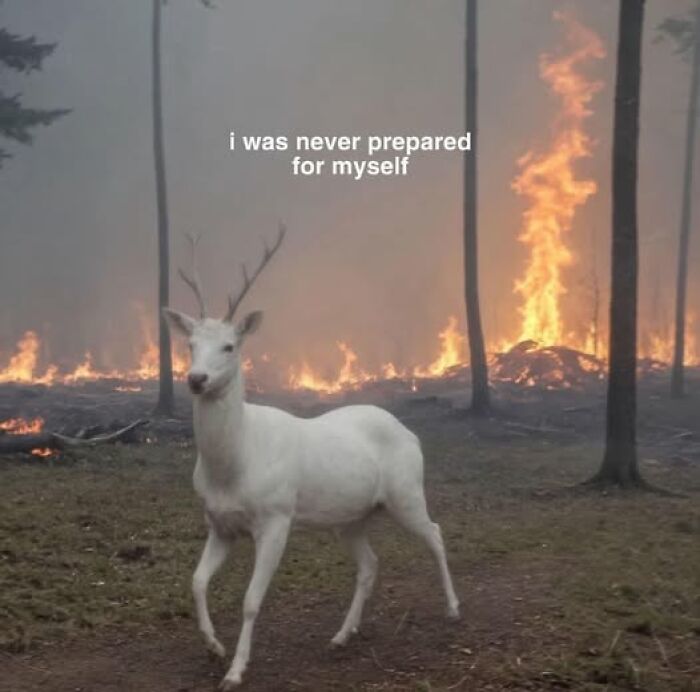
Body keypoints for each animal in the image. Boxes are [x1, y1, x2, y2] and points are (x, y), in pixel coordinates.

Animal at [163, 226, 460, 690]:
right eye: (190, 344)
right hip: (352, 516)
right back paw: (341, 635)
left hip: (407, 491)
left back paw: (453, 609)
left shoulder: (277, 516)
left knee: (435, 531)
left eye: (229, 346)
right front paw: (214, 646)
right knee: (370, 563)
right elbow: (195, 582)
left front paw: (236, 671)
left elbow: (251, 600)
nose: (197, 379)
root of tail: (409, 431)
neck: (233, 467)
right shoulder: (220, 523)